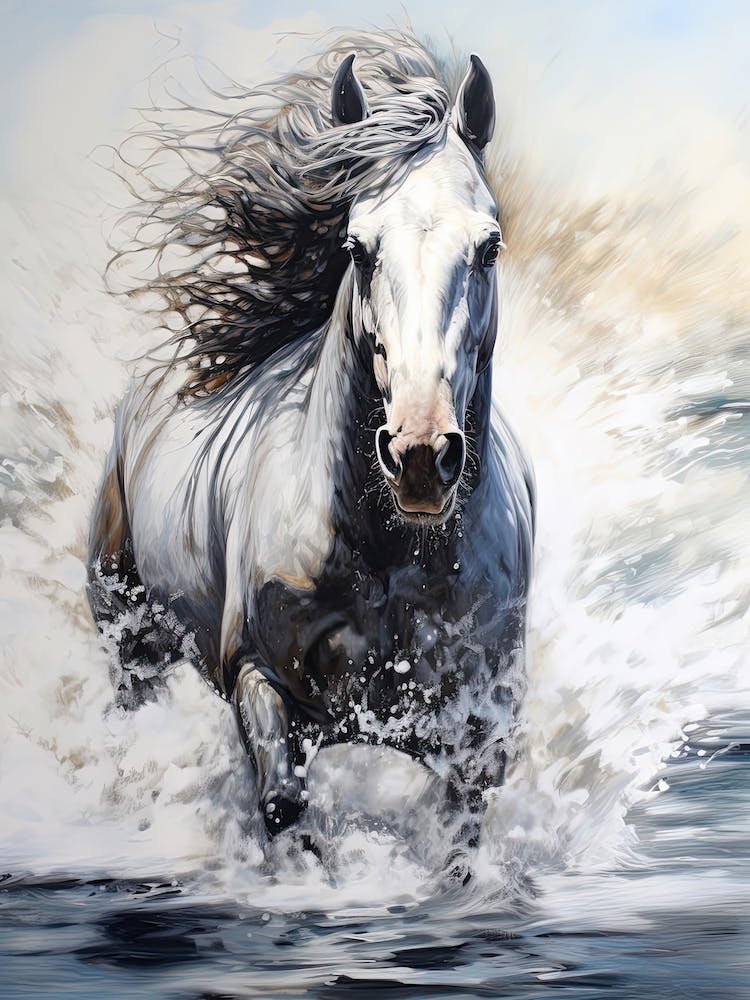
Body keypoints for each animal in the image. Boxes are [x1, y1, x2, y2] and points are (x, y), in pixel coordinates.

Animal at [88, 30, 535, 852]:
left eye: (489, 246)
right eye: (358, 246)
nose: (420, 456)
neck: (390, 558)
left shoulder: (479, 733)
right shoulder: (257, 680)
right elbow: (283, 812)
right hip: (127, 643)